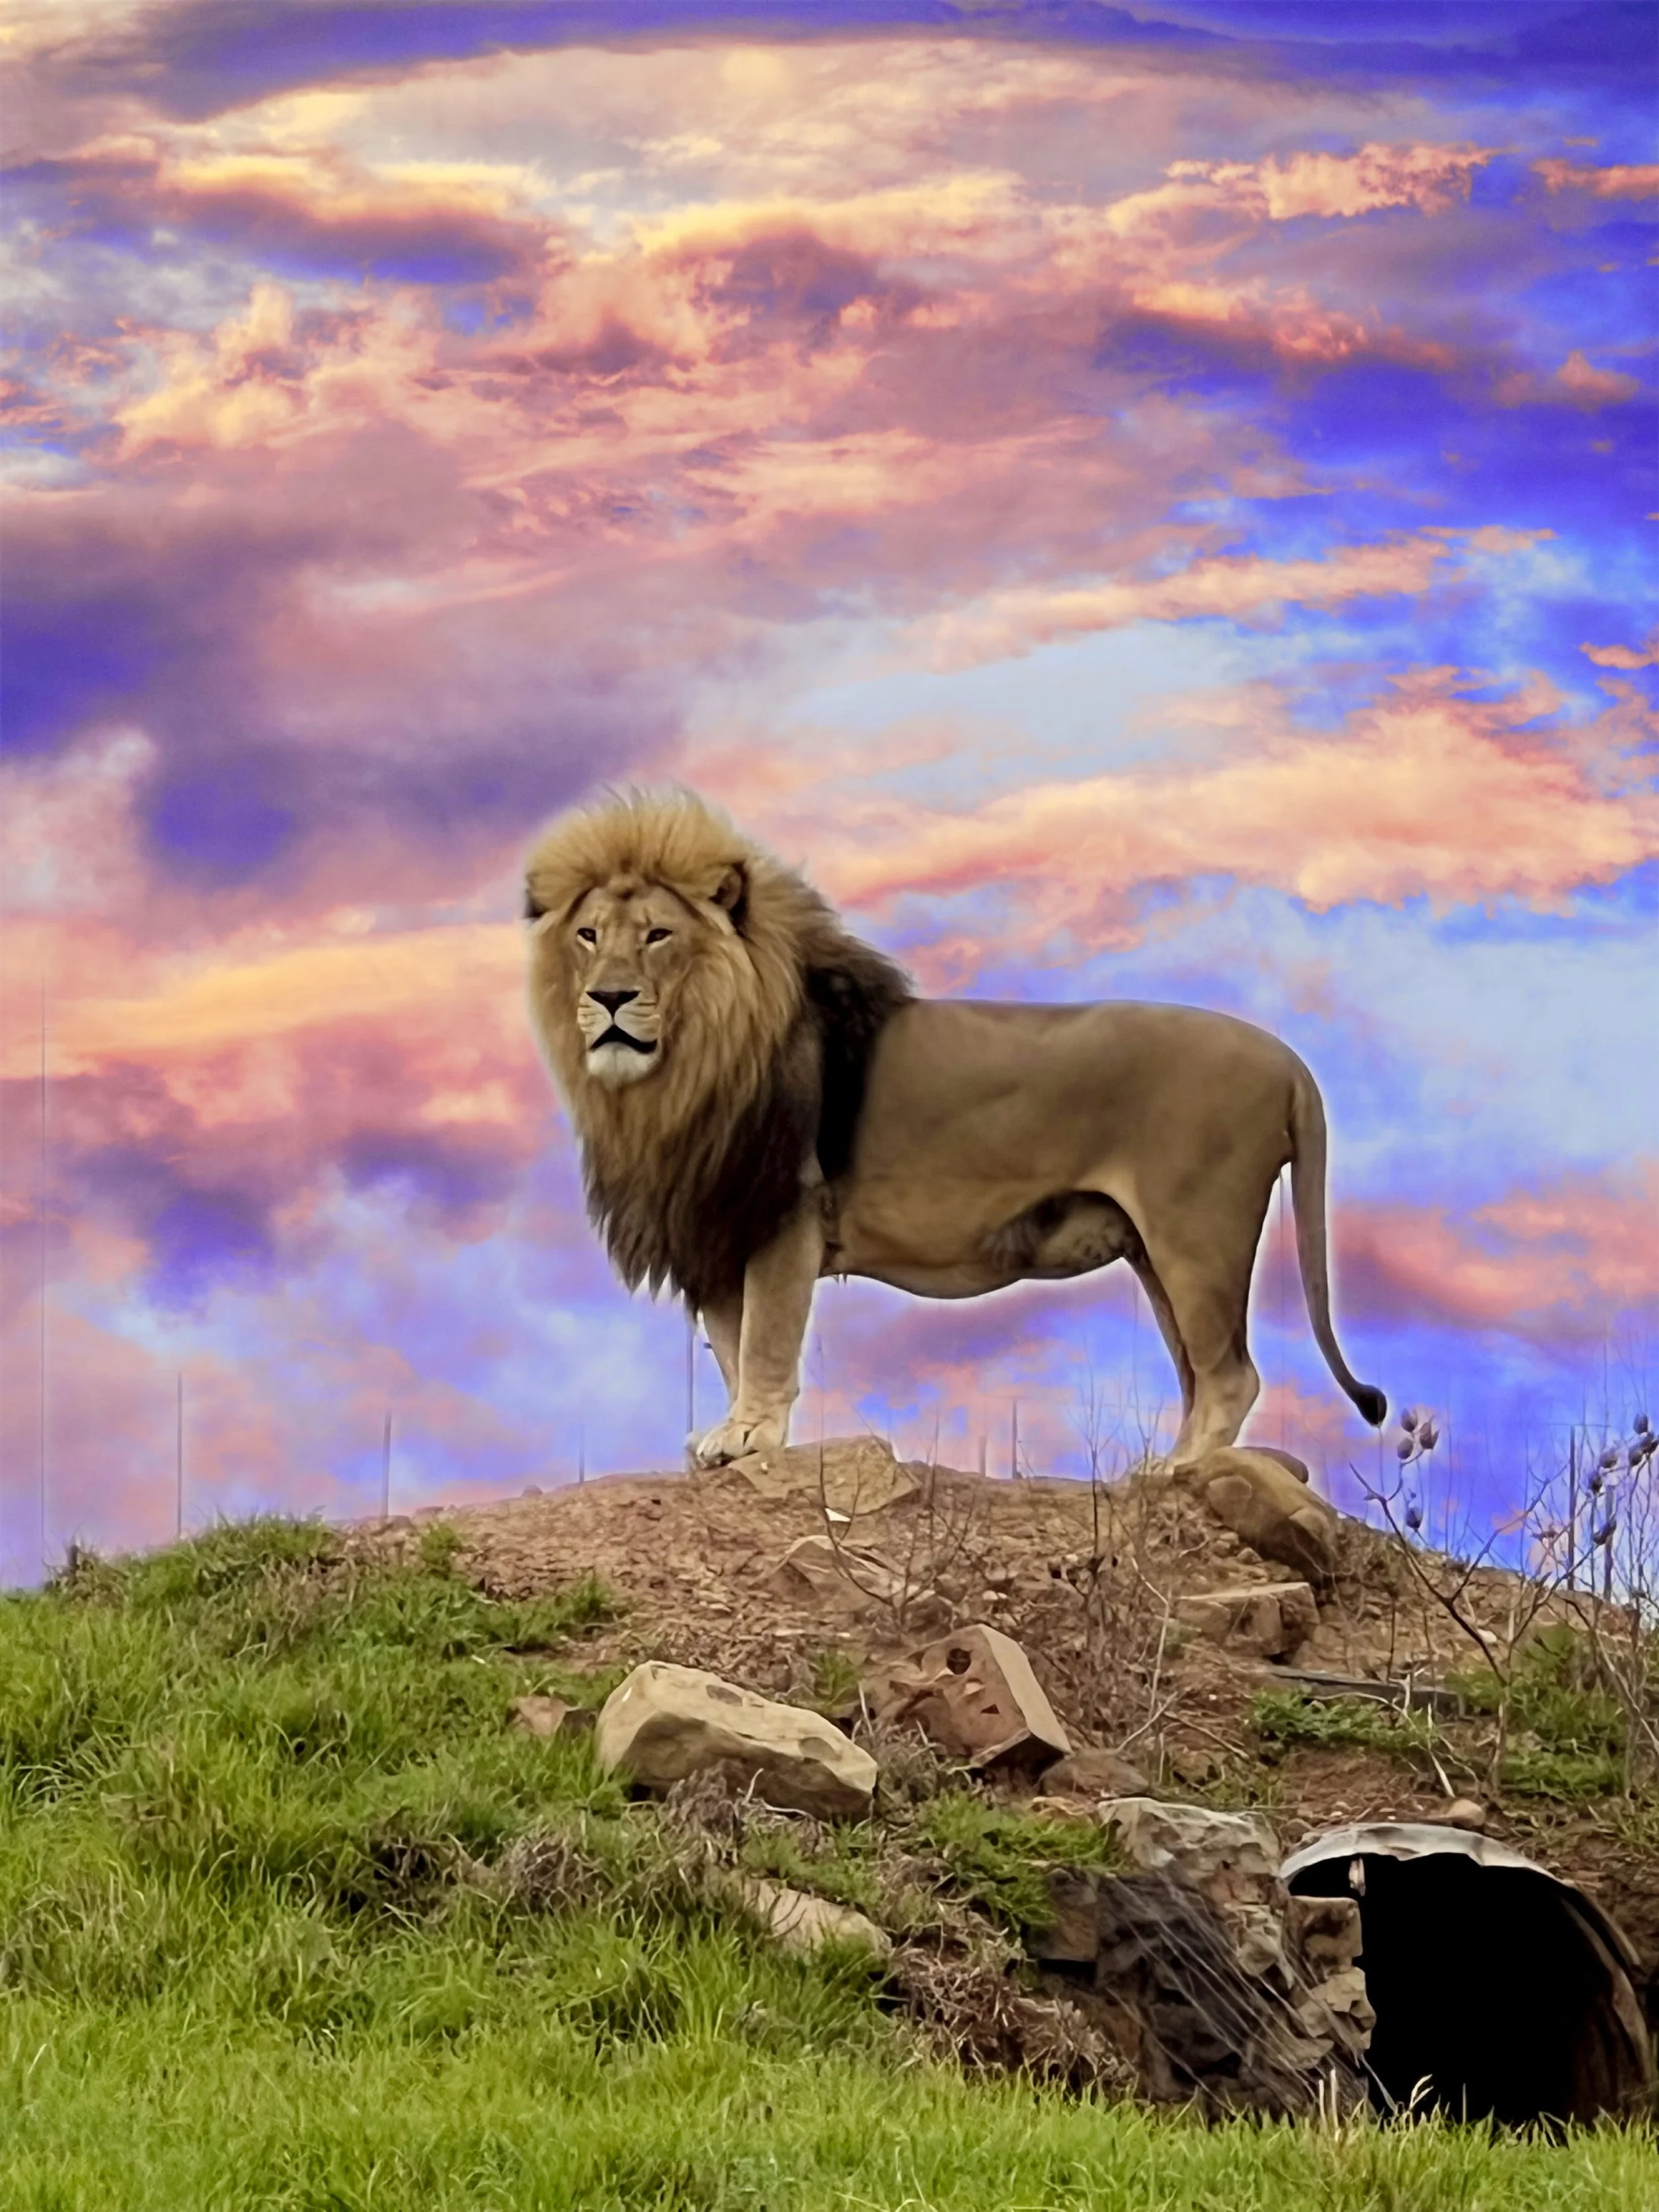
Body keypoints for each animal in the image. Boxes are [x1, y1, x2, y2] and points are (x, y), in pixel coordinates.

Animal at [524, 787, 1385, 1472]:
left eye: (658, 936)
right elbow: (732, 1346)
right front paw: (733, 1435)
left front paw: (749, 1437)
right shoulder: (713, 1227)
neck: (675, 1077)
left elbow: (764, 1340)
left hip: (1196, 1235)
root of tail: (1289, 1061)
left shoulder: (780, 1215)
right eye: (589, 936)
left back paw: (1176, 1474)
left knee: (1232, 1374)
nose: (608, 998)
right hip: (1156, 1252)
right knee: (1201, 1373)